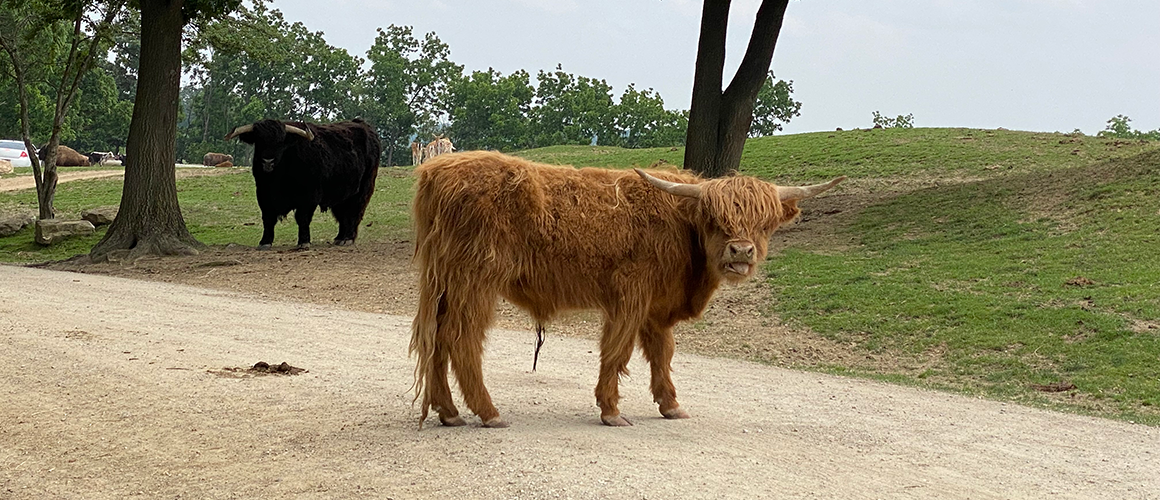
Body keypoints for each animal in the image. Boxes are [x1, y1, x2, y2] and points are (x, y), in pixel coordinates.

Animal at [224, 118, 381, 249]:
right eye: (259, 141)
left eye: (281, 142)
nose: (268, 161)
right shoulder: (263, 194)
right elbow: (268, 218)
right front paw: (265, 242)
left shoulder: (308, 196)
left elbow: (302, 218)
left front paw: (304, 242)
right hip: (342, 194)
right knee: (342, 214)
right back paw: (339, 238)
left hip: (362, 190)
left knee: (354, 212)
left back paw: (348, 238)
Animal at [409, 151, 844, 428]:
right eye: (714, 218)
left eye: (764, 222)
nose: (741, 252)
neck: (681, 226)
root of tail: (438, 171)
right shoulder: (630, 295)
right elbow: (618, 350)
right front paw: (611, 410)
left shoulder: (657, 306)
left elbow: (662, 352)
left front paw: (671, 405)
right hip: (475, 281)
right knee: (461, 339)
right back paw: (488, 412)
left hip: (444, 283)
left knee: (436, 340)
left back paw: (449, 412)